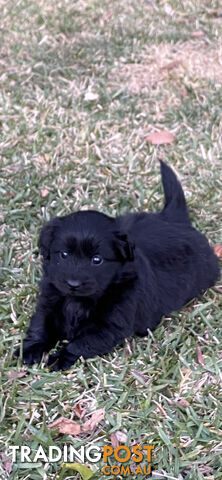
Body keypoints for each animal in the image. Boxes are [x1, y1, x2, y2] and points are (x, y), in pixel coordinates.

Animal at [16, 163, 220, 370]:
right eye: (64, 254)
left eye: (96, 260)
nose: (73, 284)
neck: (79, 300)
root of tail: (173, 219)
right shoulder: (48, 302)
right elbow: (40, 325)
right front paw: (30, 349)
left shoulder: (109, 325)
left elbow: (81, 344)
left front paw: (60, 358)